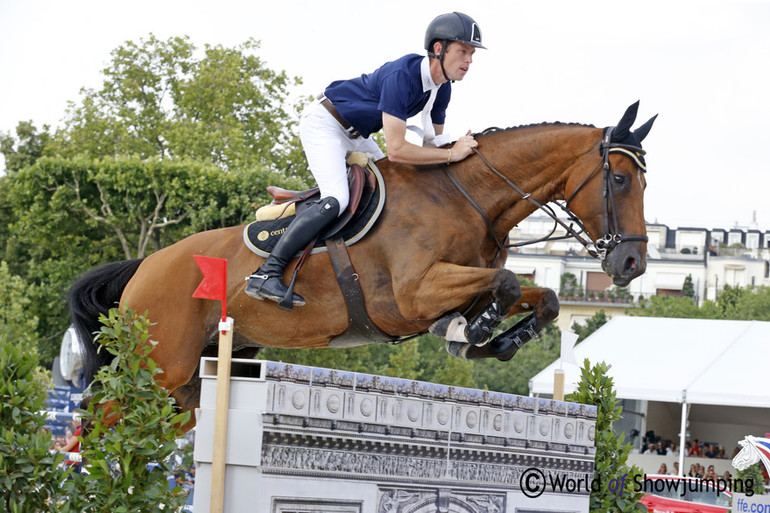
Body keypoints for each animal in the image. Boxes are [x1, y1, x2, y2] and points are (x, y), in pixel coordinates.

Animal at [67, 100, 656, 428]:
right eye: (619, 179)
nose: (631, 262)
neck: (467, 196)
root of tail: (147, 265)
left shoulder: (456, 284)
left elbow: (543, 296)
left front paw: (493, 338)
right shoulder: (413, 295)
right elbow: (508, 282)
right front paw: (475, 331)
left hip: (190, 385)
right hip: (160, 367)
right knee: (100, 427)